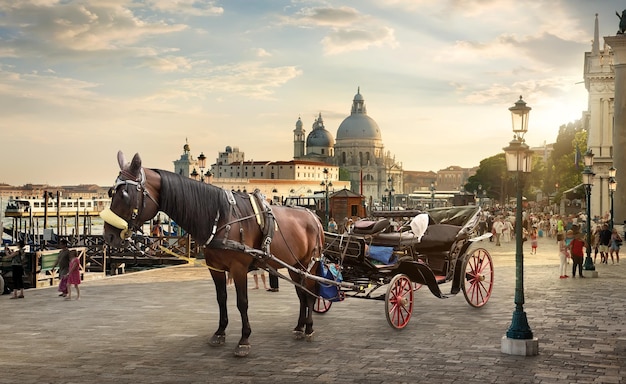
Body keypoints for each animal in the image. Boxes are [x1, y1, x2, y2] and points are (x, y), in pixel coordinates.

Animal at [100, 151, 324, 356]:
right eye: (110, 192)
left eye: (125, 195)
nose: (108, 236)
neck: (221, 217)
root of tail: (314, 217)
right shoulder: (215, 267)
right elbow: (221, 298)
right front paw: (219, 333)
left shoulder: (239, 269)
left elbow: (242, 302)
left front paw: (244, 340)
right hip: (295, 266)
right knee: (302, 293)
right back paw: (299, 327)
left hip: (309, 264)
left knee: (310, 292)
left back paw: (309, 328)